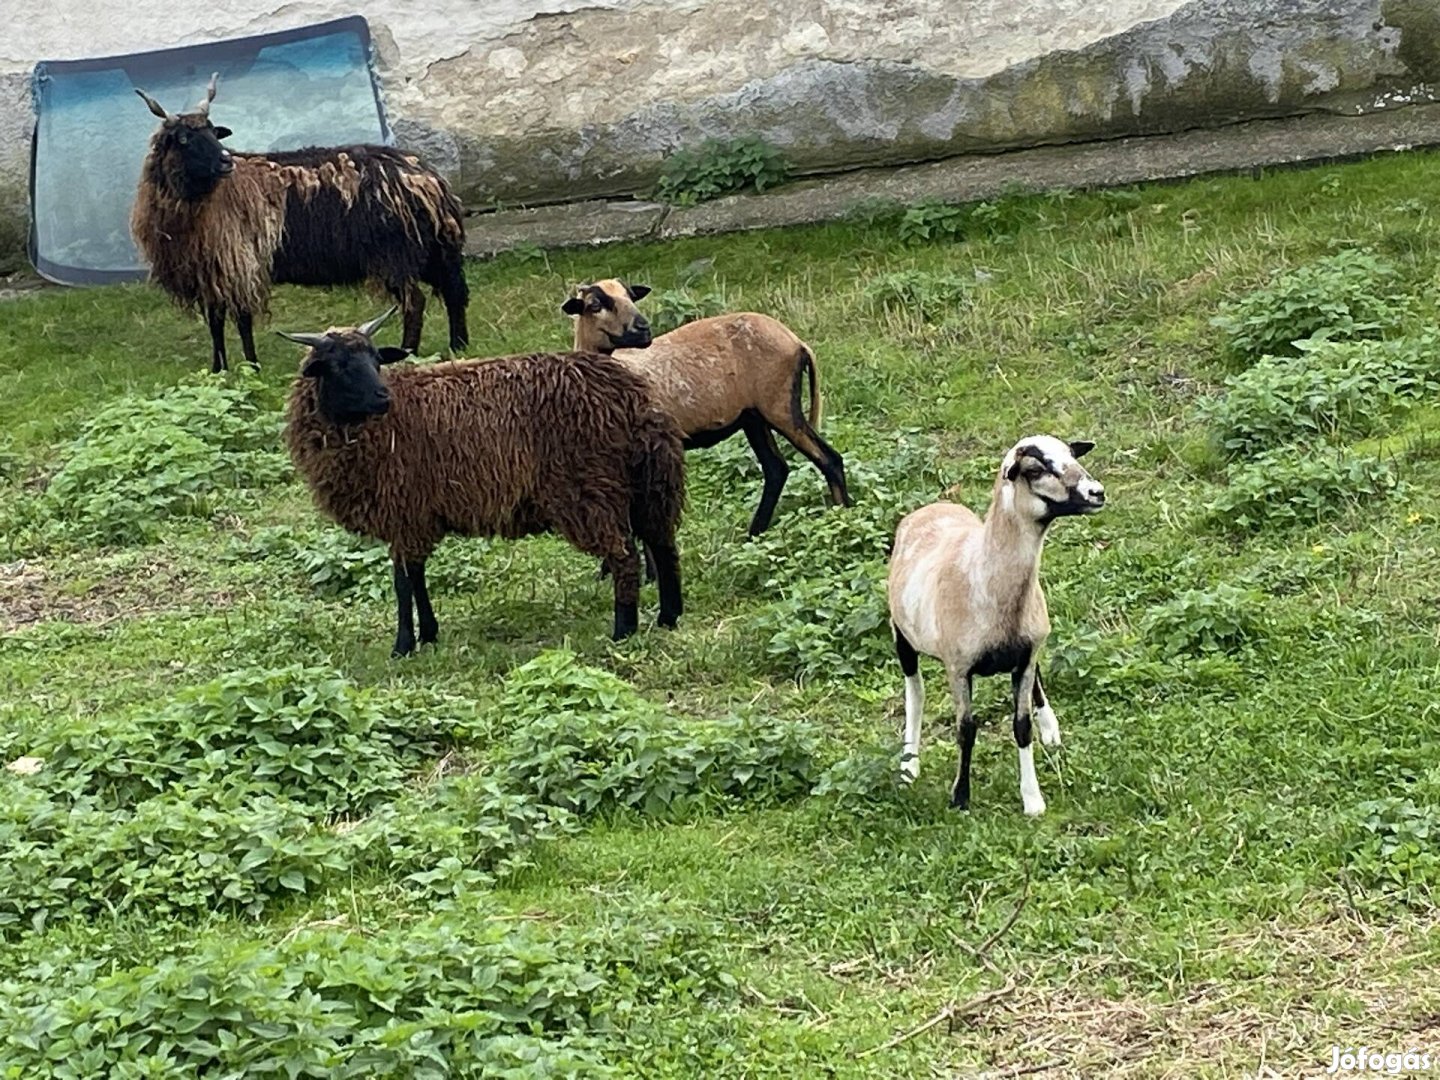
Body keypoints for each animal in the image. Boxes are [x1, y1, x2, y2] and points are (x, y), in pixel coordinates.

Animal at [130, 74, 466, 371]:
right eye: (184, 138)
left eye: (214, 131)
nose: (225, 161)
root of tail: (430, 180)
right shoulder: (211, 272)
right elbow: (215, 323)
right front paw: (219, 370)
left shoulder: (239, 265)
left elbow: (242, 321)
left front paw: (252, 367)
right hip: (433, 252)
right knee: (454, 292)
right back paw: (458, 346)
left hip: (397, 255)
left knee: (415, 303)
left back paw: (408, 353)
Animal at [285, 308, 685, 656]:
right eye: (339, 364)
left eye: (376, 360)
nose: (383, 397)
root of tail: (634, 398)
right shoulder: (417, 516)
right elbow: (416, 576)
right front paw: (428, 634)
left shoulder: (403, 511)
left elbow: (402, 583)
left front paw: (403, 646)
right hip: (649, 485)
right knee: (664, 547)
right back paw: (669, 617)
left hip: (592, 490)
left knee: (625, 557)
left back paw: (623, 631)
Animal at [561, 276, 846, 535]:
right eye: (595, 304)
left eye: (631, 296)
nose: (643, 329)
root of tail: (797, 341)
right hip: (753, 416)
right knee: (776, 469)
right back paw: (754, 534)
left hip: (779, 404)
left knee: (829, 459)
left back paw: (842, 515)